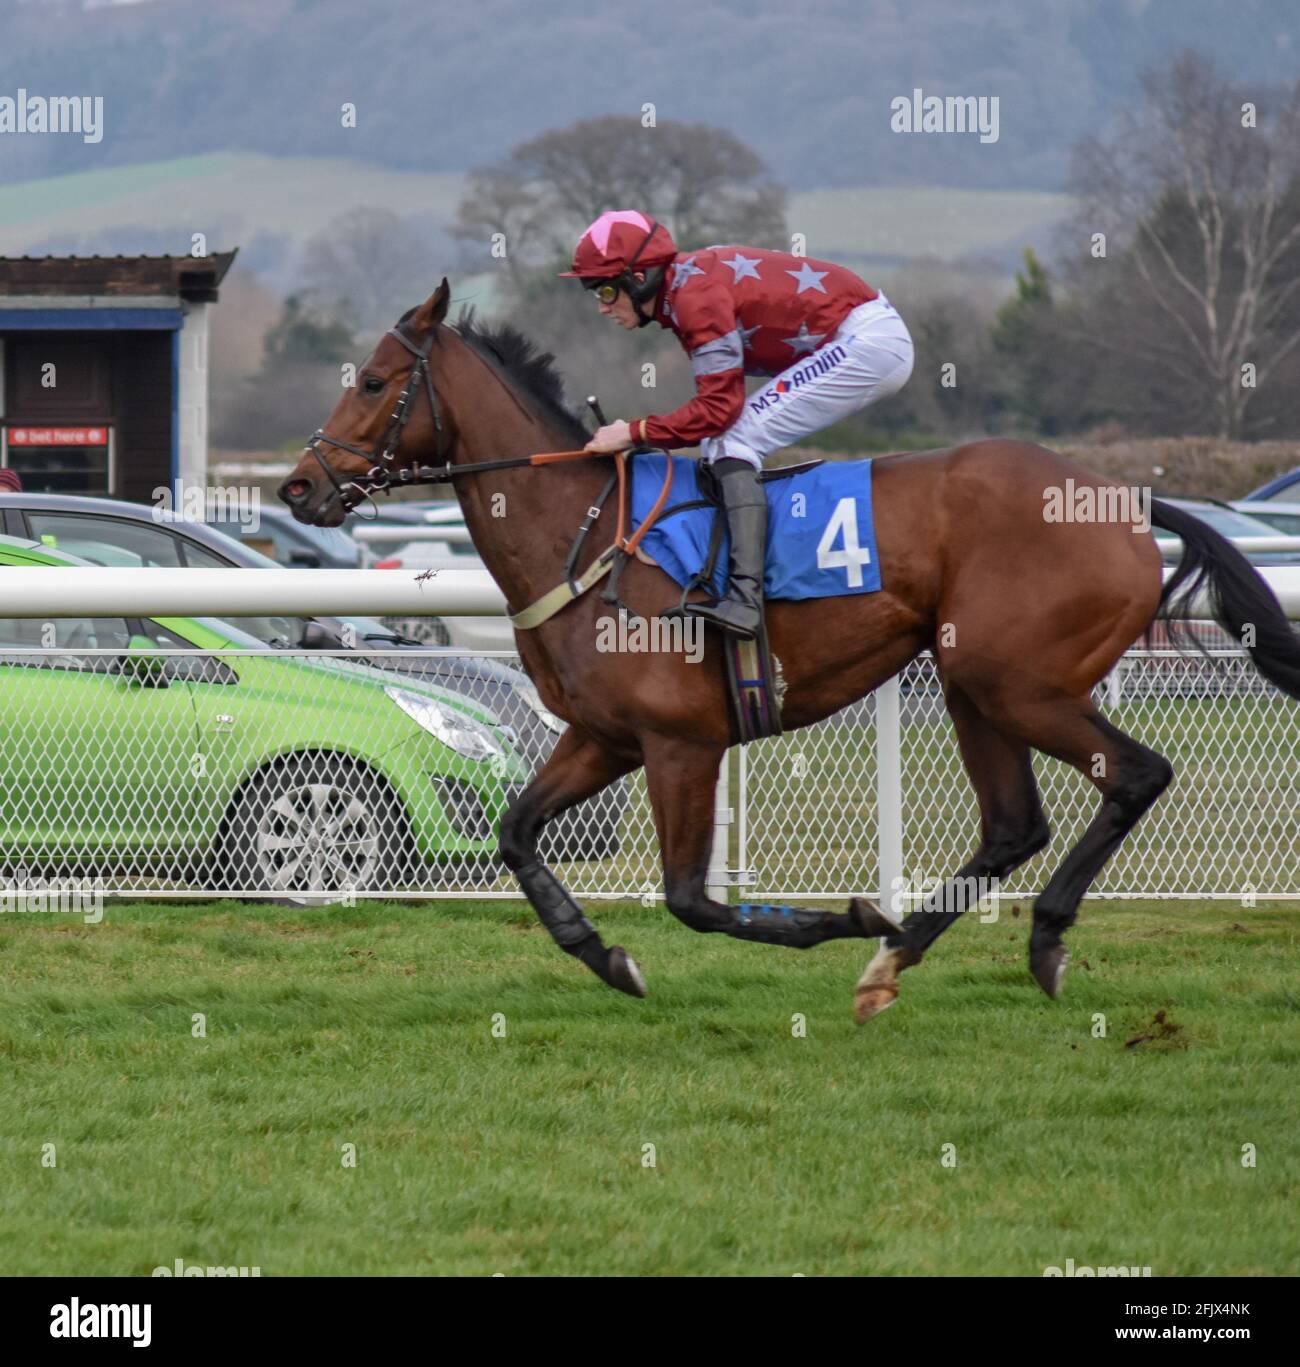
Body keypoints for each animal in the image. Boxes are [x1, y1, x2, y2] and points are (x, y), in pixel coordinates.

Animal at [277, 280, 1300, 1027]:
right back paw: (894, 957)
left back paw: (1035, 939)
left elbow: (691, 897)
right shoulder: (603, 736)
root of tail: (1120, 495)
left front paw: (836, 918)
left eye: (373, 382)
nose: (297, 486)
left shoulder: (681, 743)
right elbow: (519, 834)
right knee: (1014, 823)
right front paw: (604, 954)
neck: (588, 531)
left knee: (1136, 773)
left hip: (1018, 681)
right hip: (973, 684)